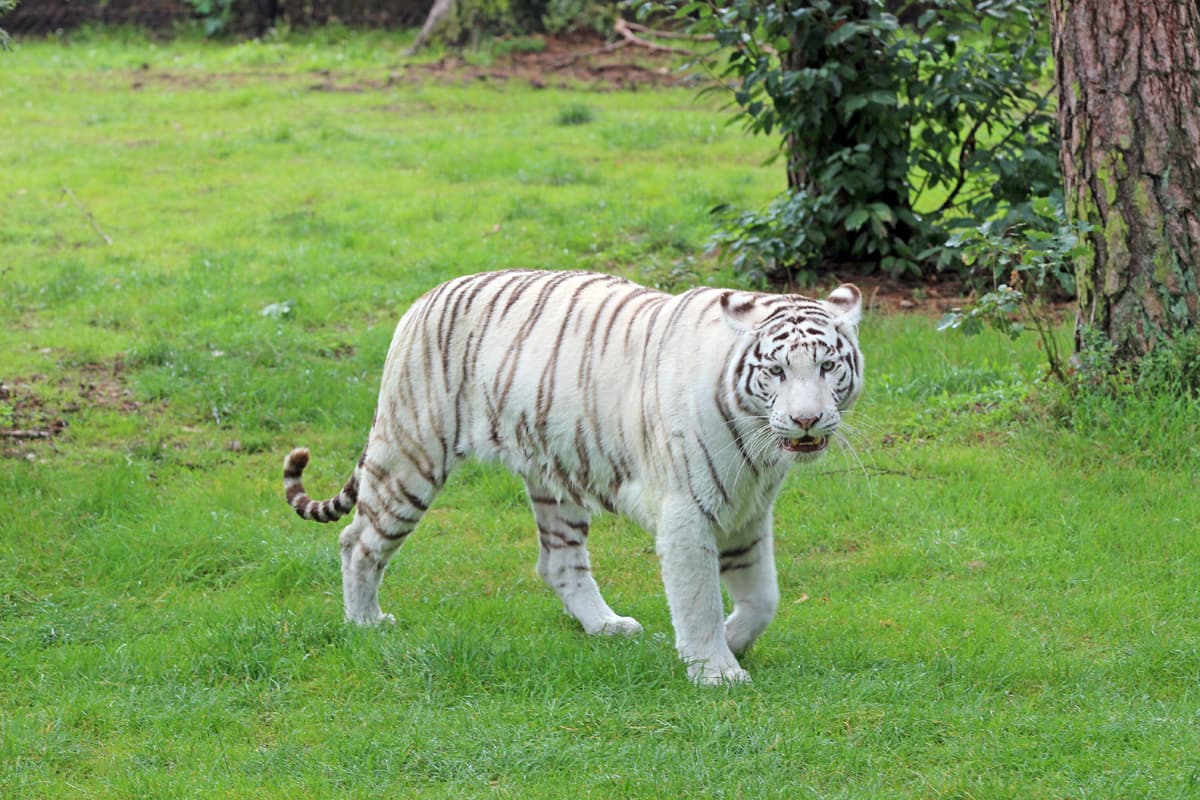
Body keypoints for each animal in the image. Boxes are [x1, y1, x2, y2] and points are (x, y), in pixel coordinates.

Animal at [283, 269, 863, 685]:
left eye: (828, 366)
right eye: (776, 371)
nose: (807, 420)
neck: (756, 440)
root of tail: (423, 299)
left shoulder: (748, 510)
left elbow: (763, 599)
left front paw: (733, 642)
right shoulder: (685, 511)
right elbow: (698, 599)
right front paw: (715, 671)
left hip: (555, 477)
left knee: (558, 563)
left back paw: (605, 625)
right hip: (412, 456)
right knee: (358, 540)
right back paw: (365, 623)